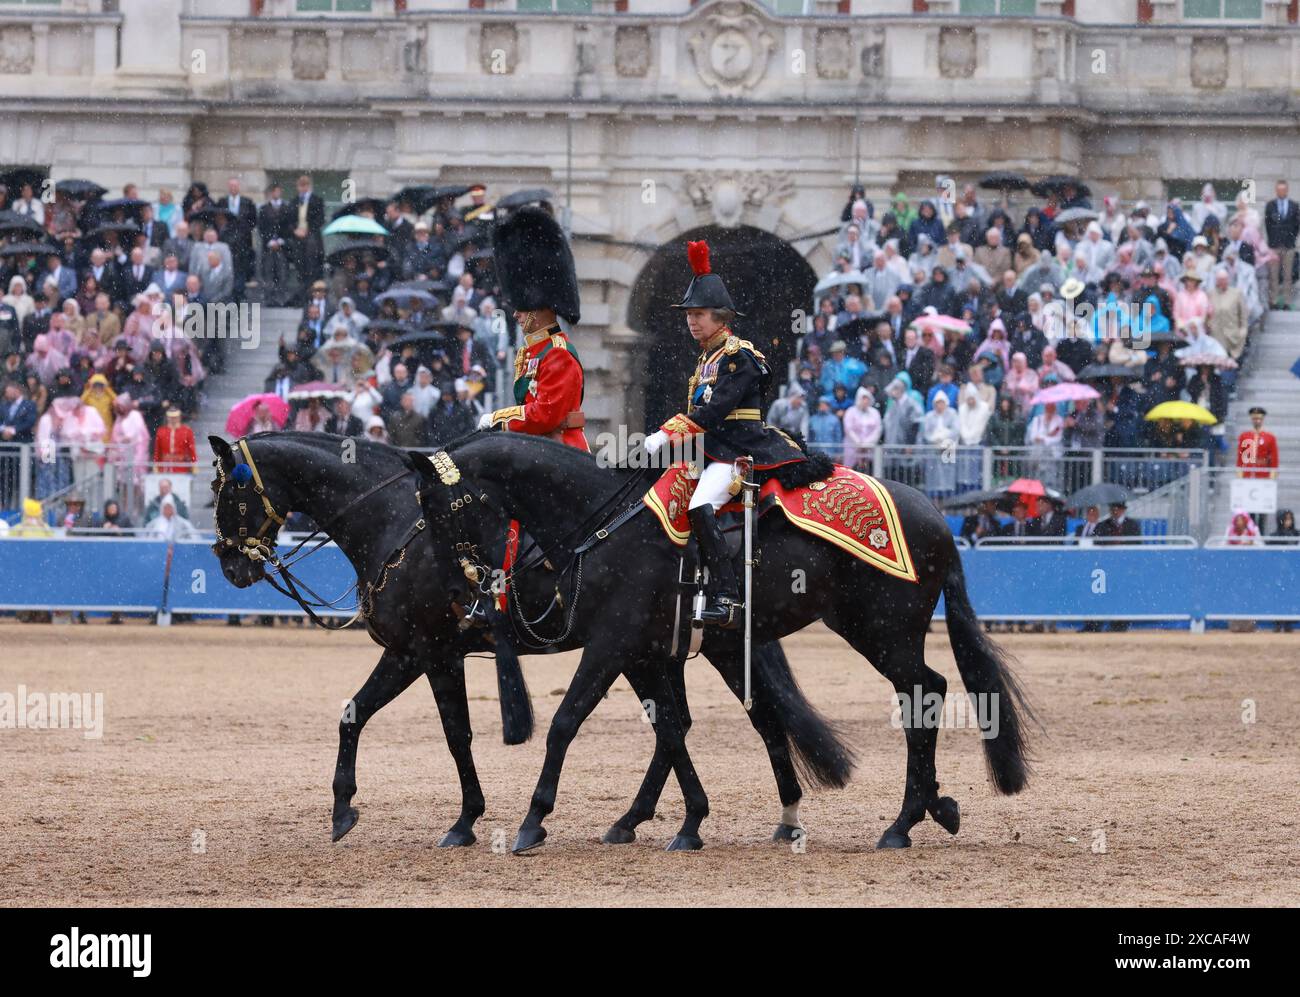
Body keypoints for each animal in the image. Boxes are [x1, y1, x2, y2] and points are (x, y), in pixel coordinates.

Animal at [207, 432, 854, 850]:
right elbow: (357, 714)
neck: (392, 522)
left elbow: (454, 734)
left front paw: (467, 819)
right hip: (662, 652)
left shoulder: (425, 651)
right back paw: (652, 819)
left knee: (753, 718)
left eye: (226, 494)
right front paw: (349, 809)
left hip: (691, 649)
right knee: (690, 723)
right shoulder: (423, 653)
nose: (230, 567)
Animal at [411, 430, 1034, 852]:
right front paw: (681, 823)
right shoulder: (649, 651)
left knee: (925, 692)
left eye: (439, 509)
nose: (459, 591)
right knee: (917, 695)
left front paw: (533, 820)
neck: (607, 524)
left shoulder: (612, 643)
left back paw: (904, 822)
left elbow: (567, 721)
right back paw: (929, 808)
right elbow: (672, 727)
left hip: (882, 633)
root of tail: (934, 514)